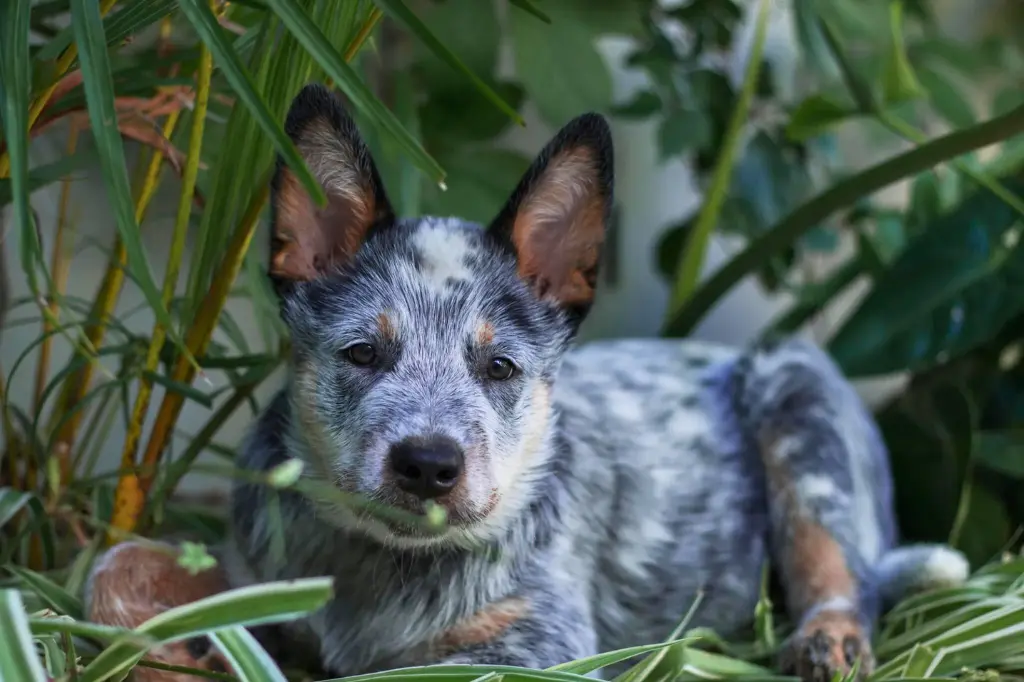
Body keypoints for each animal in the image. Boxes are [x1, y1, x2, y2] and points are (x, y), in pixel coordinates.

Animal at [86, 84, 966, 679]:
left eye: (500, 366)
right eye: (362, 354)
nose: (429, 464)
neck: (380, 568)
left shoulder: (540, 645)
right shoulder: (250, 572)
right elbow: (115, 567)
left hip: (800, 394)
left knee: (843, 570)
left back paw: (828, 641)